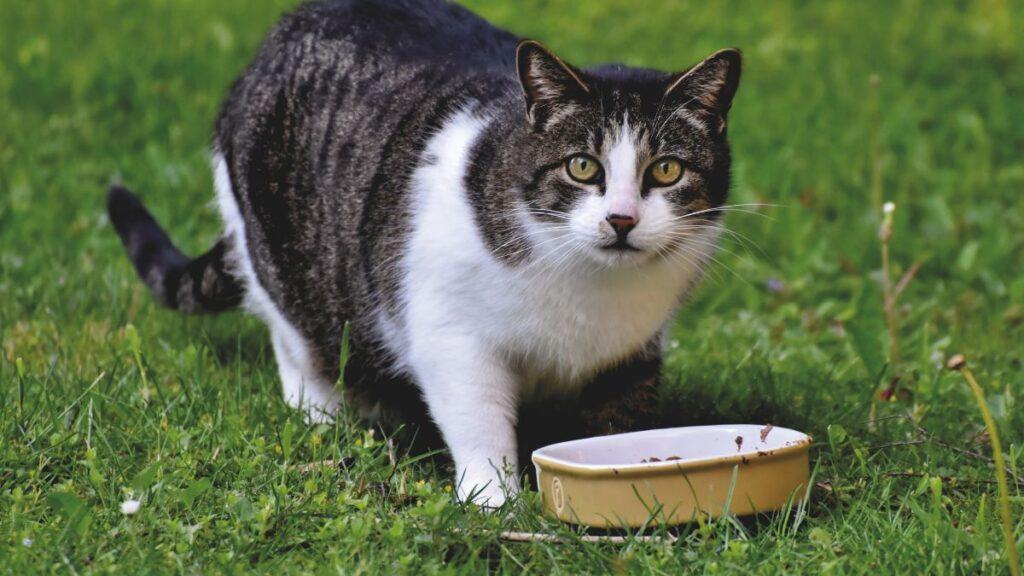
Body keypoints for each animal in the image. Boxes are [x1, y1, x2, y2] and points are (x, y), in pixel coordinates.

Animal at [108, 0, 741, 502]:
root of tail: (276, 39)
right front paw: (494, 502)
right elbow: (477, 419)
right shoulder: (450, 332)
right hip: (279, 255)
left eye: (667, 170)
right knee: (295, 341)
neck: (590, 289)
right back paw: (325, 414)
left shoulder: (633, 350)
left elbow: (617, 426)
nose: (622, 219)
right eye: (582, 166)